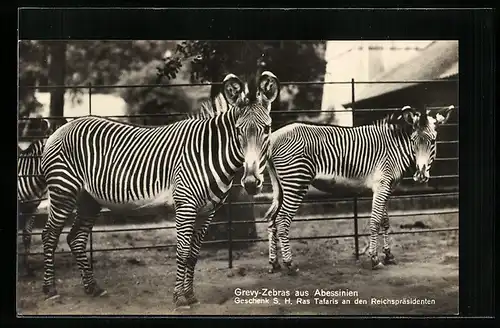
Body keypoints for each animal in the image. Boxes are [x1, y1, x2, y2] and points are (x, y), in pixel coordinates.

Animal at [38, 71, 282, 308]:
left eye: (267, 128)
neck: (209, 153)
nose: (250, 182)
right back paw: (50, 290)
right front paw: (179, 298)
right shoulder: (185, 205)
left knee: (76, 238)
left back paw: (92, 288)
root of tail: (60, 129)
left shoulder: (207, 211)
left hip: (89, 199)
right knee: (49, 235)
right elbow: (182, 252)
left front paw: (190, 295)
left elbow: (193, 255)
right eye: (238, 131)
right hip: (63, 191)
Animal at [264, 105, 456, 274]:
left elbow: (385, 221)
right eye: (414, 142)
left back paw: (274, 264)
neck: (395, 148)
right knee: (282, 220)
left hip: (281, 186)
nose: (421, 175)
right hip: (296, 181)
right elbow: (375, 221)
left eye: (432, 141)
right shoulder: (382, 185)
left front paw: (389, 256)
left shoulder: (387, 187)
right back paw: (290, 264)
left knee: (272, 220)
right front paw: (375, 259)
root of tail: (273, 137)